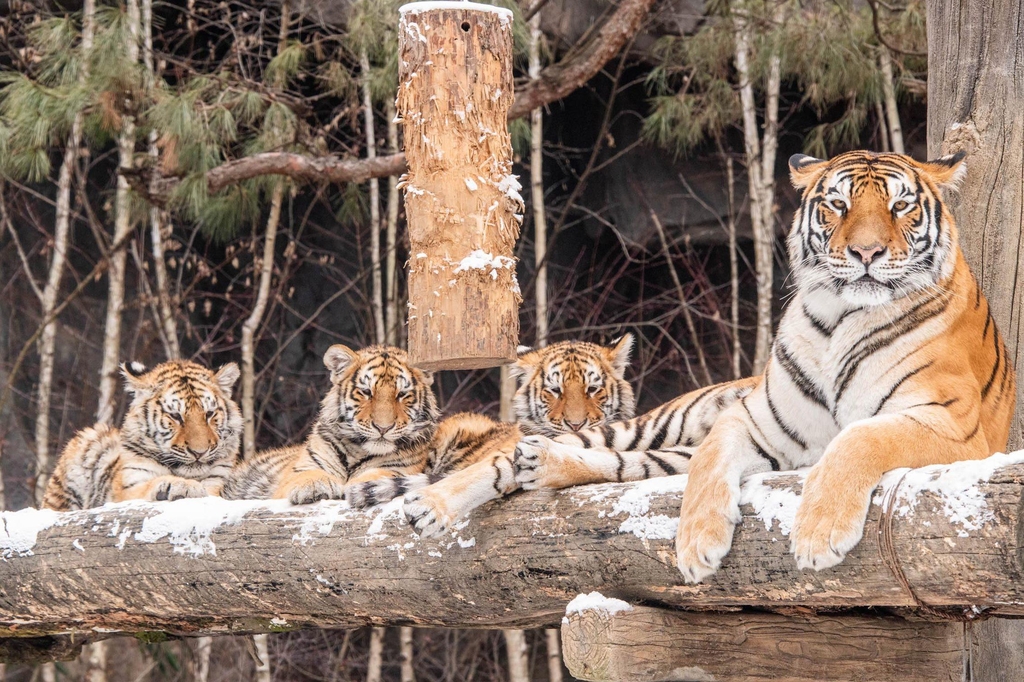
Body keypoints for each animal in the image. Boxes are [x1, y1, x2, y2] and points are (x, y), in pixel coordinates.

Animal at [45, 358, 243, 507]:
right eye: (175, 416)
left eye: (209, 414)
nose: (199, 452)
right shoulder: (128, 487)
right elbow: (146, 486)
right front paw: (181, 486)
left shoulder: (217, 482)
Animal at [516, 150, 1011, 577]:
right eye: (838, 204)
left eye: (901, 205)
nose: (867, 254)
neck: (840, 321)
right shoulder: (754, 418)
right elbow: (710, 458)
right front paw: (695, 545)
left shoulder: (955, 425)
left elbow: (859, 437)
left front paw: (818, 534)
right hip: (650, 425)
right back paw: (526, 460)